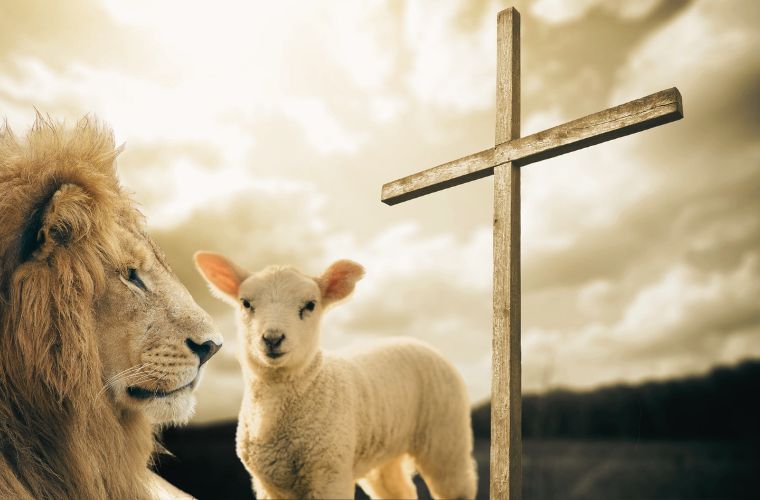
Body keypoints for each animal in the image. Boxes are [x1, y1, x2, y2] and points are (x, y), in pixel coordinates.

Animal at [194, 252, 478, 499]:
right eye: (246, 303)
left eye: (310, 305)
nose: (273, 339)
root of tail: (415, 341)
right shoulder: (266, 484)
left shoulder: (328, 474)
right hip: (384, 456)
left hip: (446, 439)